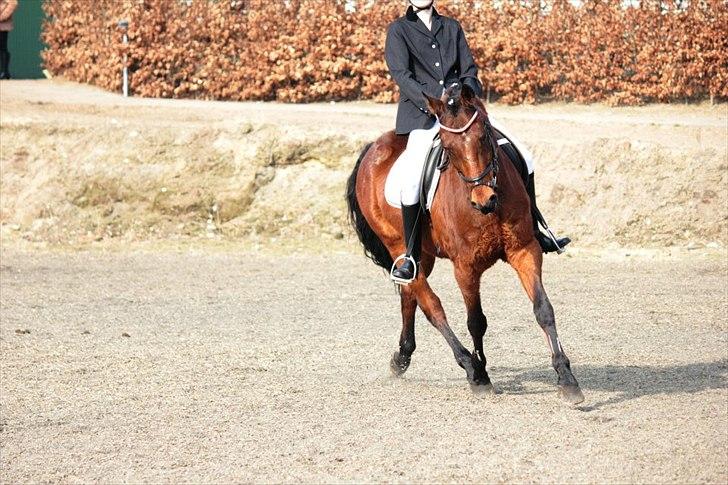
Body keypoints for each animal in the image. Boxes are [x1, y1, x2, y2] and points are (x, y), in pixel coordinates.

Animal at [346, 84, 583, 404]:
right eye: (447, 146)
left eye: (484, 135)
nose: (483, 200)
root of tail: (373, 146)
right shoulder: (466, 267)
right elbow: (476, 321)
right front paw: (480, 372)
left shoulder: (524, 250)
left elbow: (543, 308)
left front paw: (567, 378)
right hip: (396, 243)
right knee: (431, 305)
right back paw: (468, 367)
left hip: (421, 253)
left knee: (409, 294)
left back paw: (402, 357)